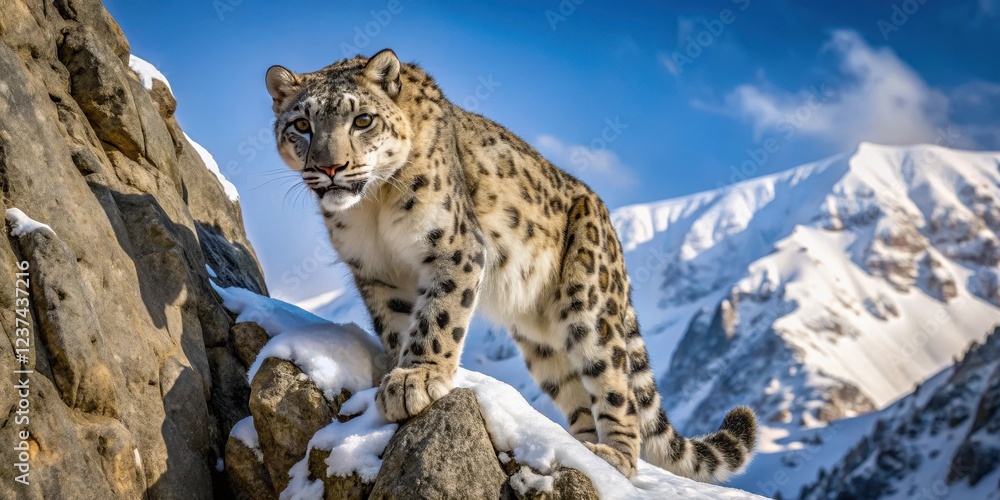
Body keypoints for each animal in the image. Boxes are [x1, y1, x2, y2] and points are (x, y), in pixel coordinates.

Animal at [264, 49, 756, 482]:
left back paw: (613, 457)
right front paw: (396, 375)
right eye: (302, 125)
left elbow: (438, 315)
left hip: (591, 307)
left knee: (618, 388)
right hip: (544, 344)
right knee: (578, 396)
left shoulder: (455, 246)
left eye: (363, 120)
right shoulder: (376, 273)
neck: (373, 206)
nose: (331, 167)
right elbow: (398, 325)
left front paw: (415, 380)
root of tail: (609, 225)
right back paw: (581, 452)